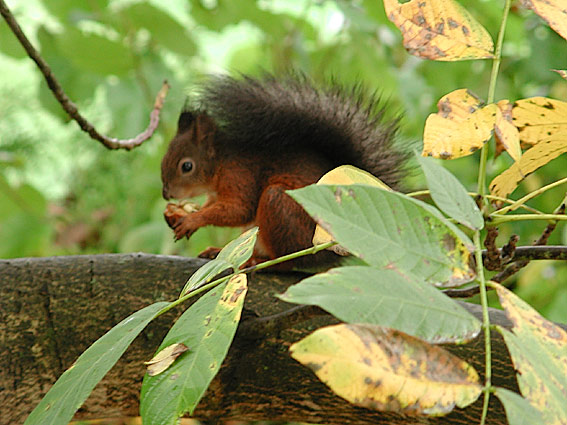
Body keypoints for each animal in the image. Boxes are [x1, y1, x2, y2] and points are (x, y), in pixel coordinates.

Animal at [161, 73, 408, 264]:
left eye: (187, 166)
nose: (166, 194)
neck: (221, 162)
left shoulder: (240, 176)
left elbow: (238, 209)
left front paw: (193, 220)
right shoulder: (216, 193)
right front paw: (182, 214)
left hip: (279, 205)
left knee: (289, 261)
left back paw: (257, 262)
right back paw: (220, 252)